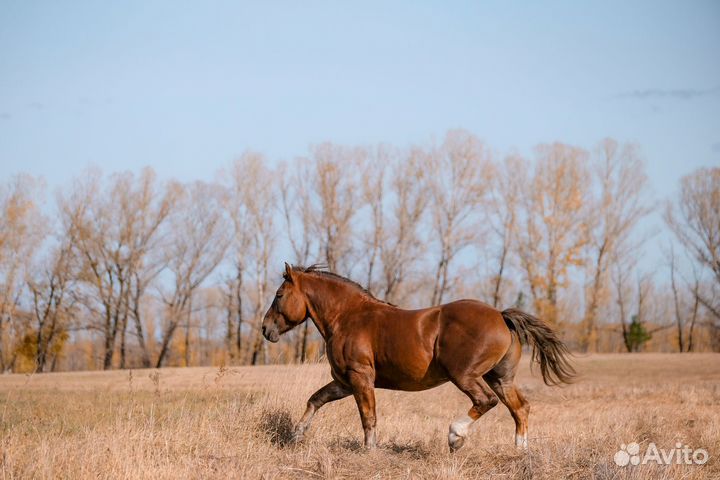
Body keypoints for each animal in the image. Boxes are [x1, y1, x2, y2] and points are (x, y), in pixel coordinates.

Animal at [262, 264, 576, 452]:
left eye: (279, 295)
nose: (266, 329)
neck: (347, 317)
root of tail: (501, 316)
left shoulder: (360, 377)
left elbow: (368, 417)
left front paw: (369, 451)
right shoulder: (344, 381)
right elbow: (315, 400)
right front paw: (296, 435)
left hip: (466, 375)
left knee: (486, 401)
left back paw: (455, 436)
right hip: (500, 378)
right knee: (520, 408)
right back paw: (520, 450)